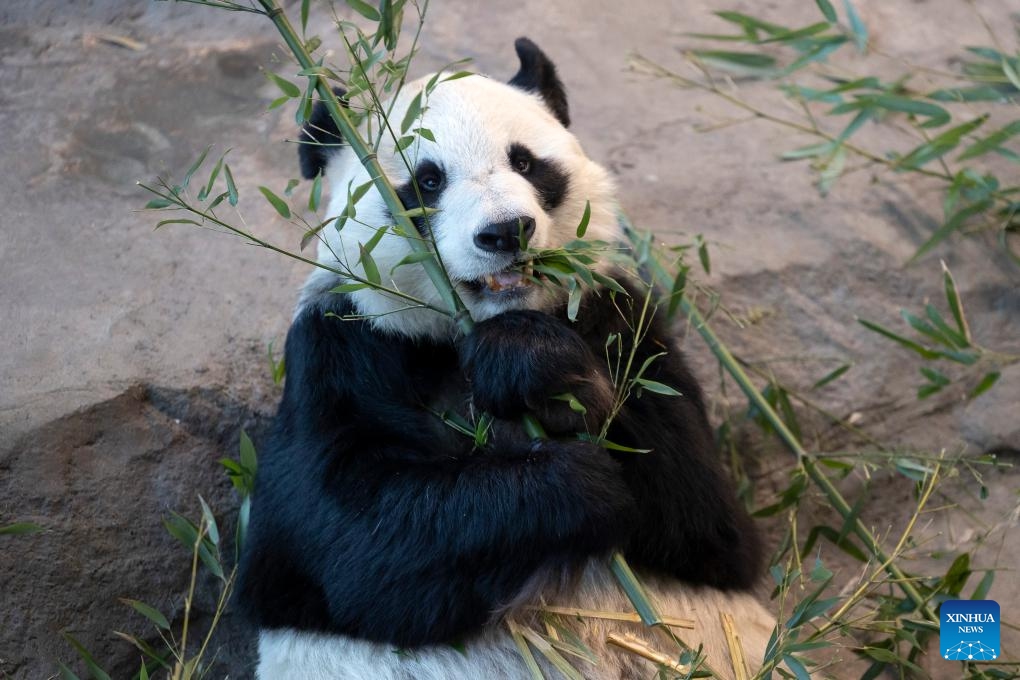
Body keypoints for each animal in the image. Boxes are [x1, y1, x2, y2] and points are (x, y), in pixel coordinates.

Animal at [237, 37, 777, 679]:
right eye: (426, 181)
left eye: (526, 164)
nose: (505, 231)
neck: (475, 325)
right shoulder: (343, 346)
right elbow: (340, 532)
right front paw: (571, 481)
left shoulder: (615, 314)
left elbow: (714, 522)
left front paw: (537, 369)